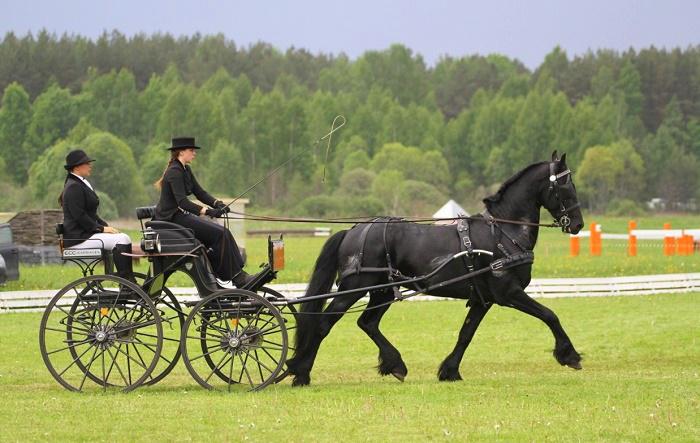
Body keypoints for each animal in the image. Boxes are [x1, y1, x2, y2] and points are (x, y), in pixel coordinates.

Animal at [284, 153, 584, 388]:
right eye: (566, 186)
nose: (578, 224)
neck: (503, 231)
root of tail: (354, 230)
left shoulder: (482, 300)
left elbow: (466, 334)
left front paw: (449, 371)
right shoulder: (508, 293)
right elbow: (550, 315)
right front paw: (569, 355)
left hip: (383, 291)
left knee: (367, 323)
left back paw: (395, 364)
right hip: (354, 288)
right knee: (324, 323)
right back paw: (301, 372)